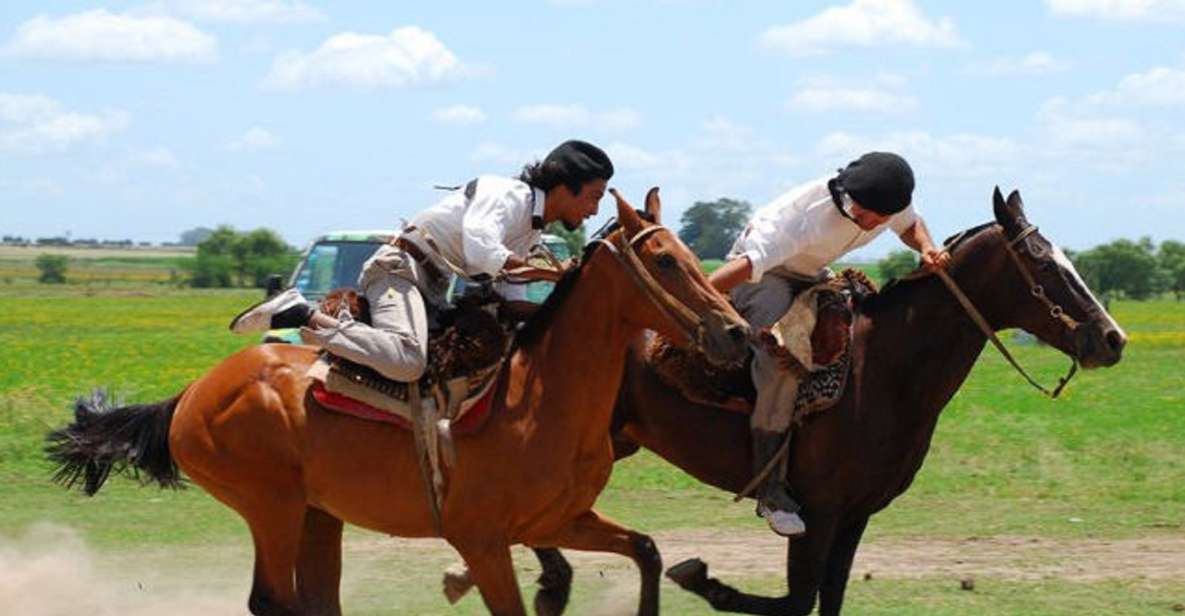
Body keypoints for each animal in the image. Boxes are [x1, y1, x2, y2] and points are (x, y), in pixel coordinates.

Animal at [48, 189, 748, 611]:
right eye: (664, 260)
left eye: (689, 250)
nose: (735, 332)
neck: (538, 397)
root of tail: (193, 393)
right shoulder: (484, 542)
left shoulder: (556, 521)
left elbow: (647, 552)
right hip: (270, 507)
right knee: (273, 601)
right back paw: (281, 306)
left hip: (317, 515)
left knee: (315, 601)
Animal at [523, 187, 1123, 616]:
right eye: (1044, 264)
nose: (1112, 338)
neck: (882, 370)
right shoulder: (819, 511)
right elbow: (796, 600)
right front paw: (703, 580)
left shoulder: (856, 514)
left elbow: (828, 598)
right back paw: (554, 579)